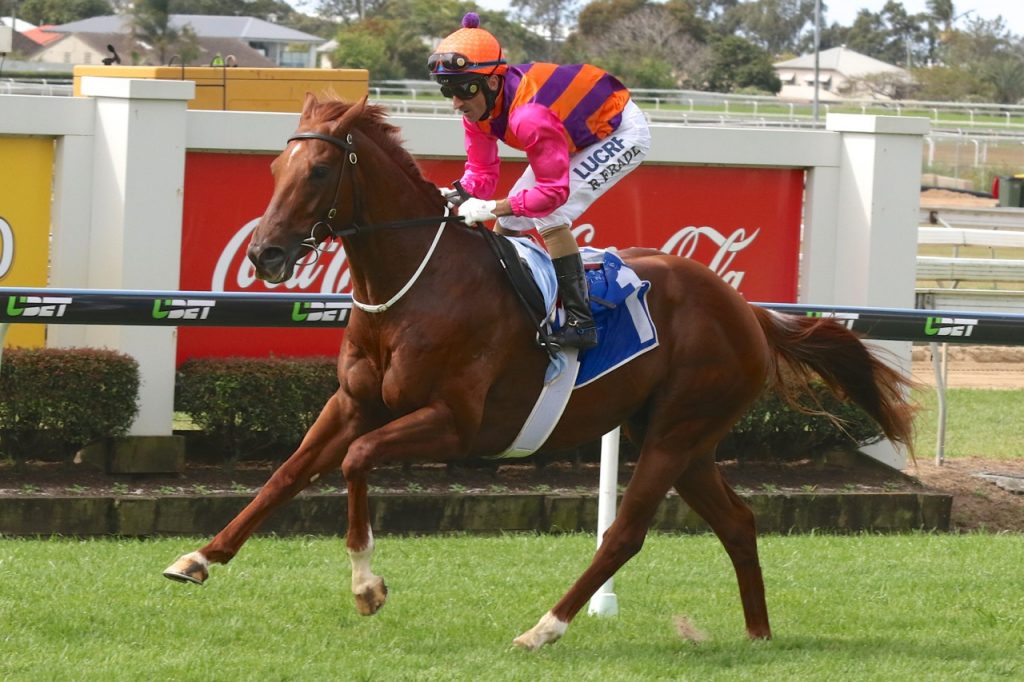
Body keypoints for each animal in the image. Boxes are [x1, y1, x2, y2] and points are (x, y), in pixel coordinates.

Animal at [164, 93, 916, 650]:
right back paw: (758, 634)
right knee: (738, 521)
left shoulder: (457, 425)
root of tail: (747, 309)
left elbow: (355, 462)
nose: (264, 254)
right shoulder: (352, 402)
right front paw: (198, 557)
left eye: (318, 171)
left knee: (625, 533)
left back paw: (545, 627)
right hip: (685, 438)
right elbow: (287, 474)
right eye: (273, 169)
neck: (414, 286)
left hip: (677, 431)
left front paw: (366, 589)